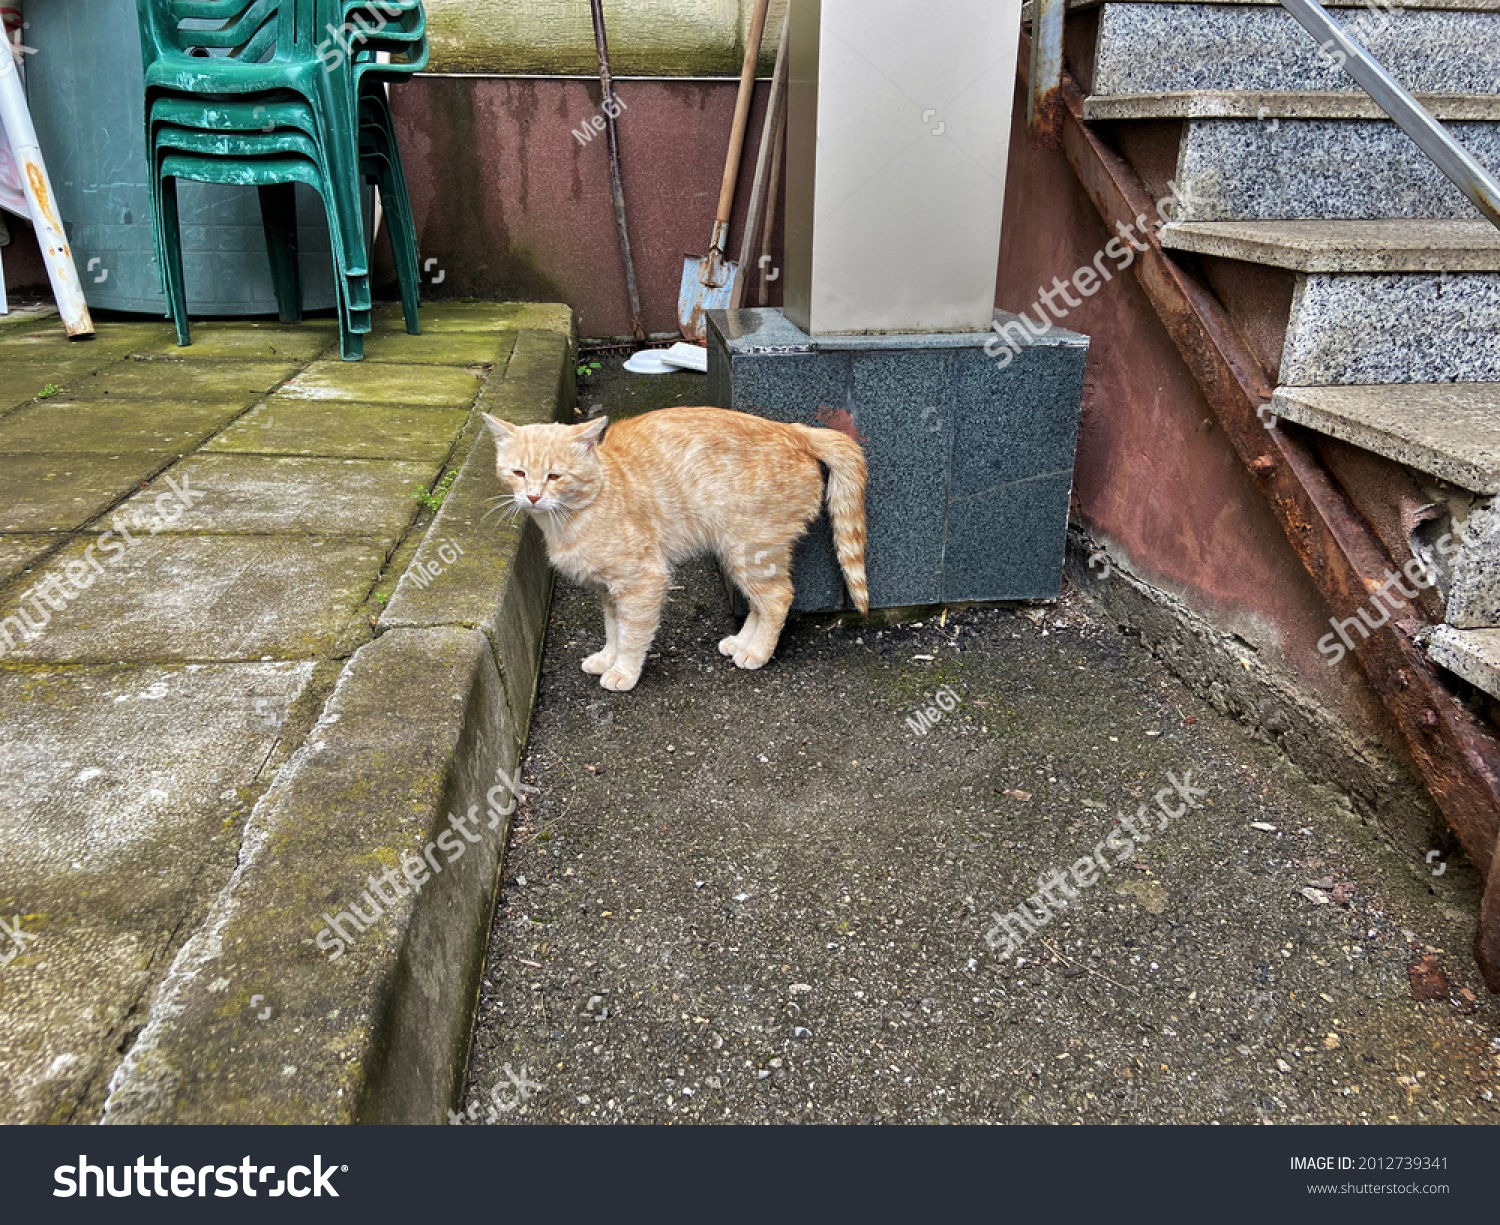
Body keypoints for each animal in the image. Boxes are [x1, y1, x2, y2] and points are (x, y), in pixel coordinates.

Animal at [486, 407, 876, 689]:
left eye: (555, 476)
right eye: (519, 473)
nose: (533, 497)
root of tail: (793, 429)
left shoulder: (641, 582)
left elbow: (632, 634)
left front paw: (624, 671)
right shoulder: (608, 591)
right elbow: (614, 629)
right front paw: (608, 657)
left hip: (750, 551)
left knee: (778, 599)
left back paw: (758, 652)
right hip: (736, 555)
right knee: (760, 603)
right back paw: (742, 643)